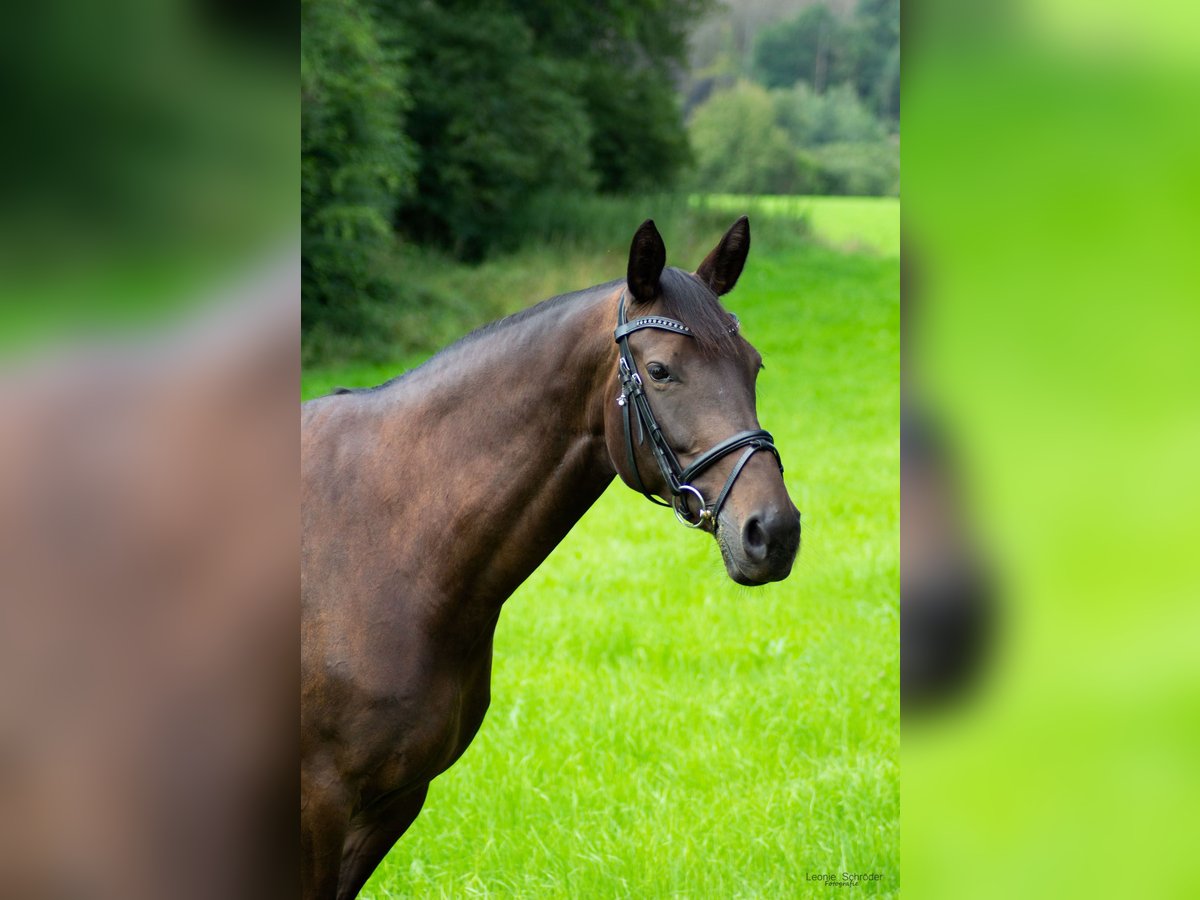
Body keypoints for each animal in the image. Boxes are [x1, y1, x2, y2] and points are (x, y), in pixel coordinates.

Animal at [300, 220, 801, 900]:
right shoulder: (318, 806)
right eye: (661, 371)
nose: (773, 532)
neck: (381, 542)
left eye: (754, 365)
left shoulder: (390, 804)